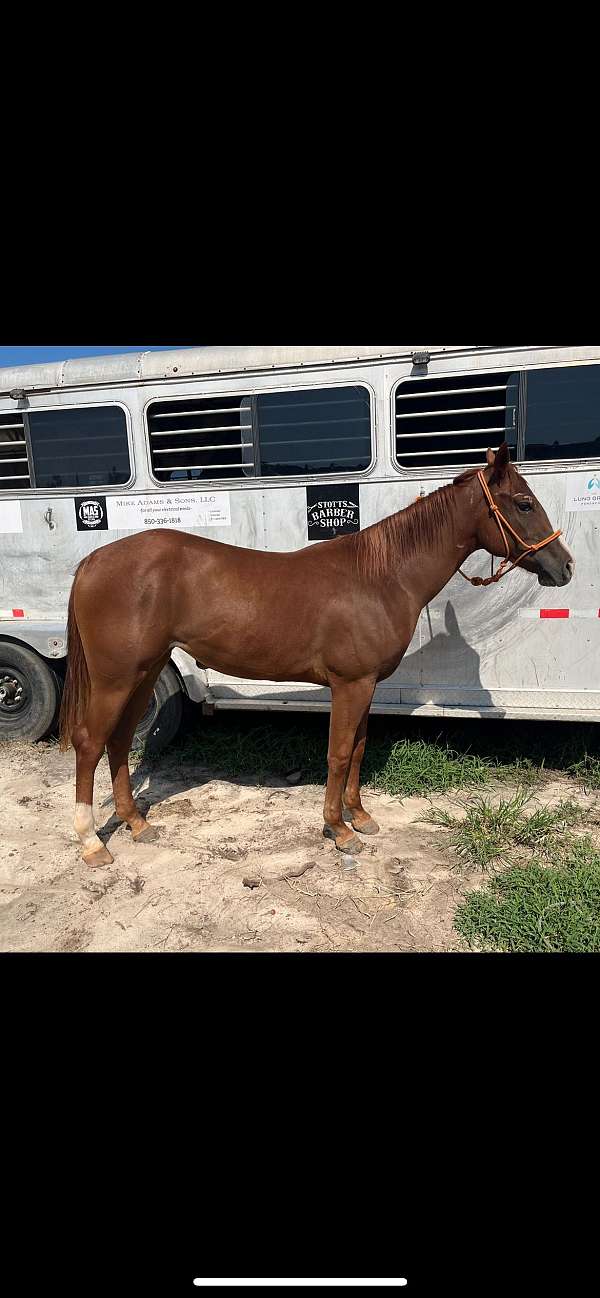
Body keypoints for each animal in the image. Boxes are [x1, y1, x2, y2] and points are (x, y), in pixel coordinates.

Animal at [59, 441, 571, 867]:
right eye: (524, 503)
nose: (564, 566)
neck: (381, 577)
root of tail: (93, 560)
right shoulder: (350, 684)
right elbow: (340, 753)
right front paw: (339, 830)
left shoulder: (366, 686)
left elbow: (359, 749)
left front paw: (360, 816)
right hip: (116, 678)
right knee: (89, 743)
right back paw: (90, 843)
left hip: (143, 674)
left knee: (118, 742)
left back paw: (136, 822)